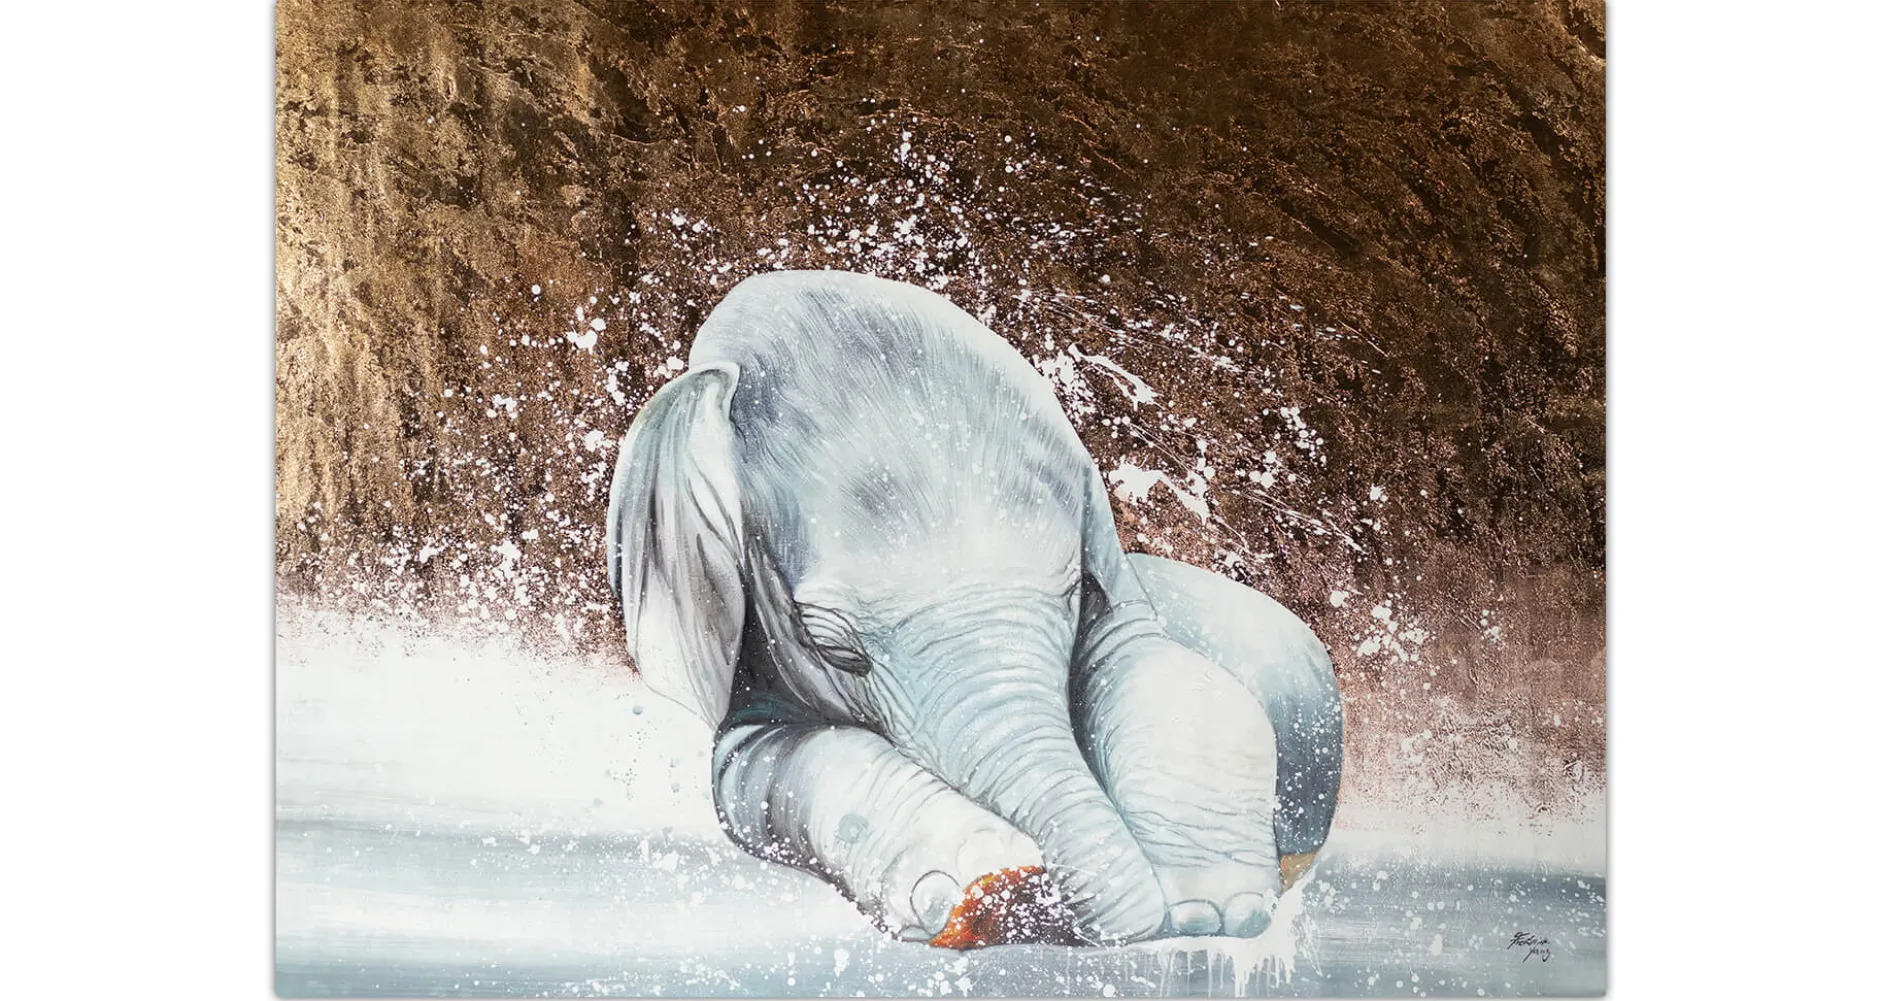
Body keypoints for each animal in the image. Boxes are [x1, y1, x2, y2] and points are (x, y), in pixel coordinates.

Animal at [606, 270, 1343, 948]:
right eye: (832, 646)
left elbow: (1170, 679)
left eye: (1076, 590)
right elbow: (759, 767)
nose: (1035, 894)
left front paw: (1213, 913)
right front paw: (980, 890)